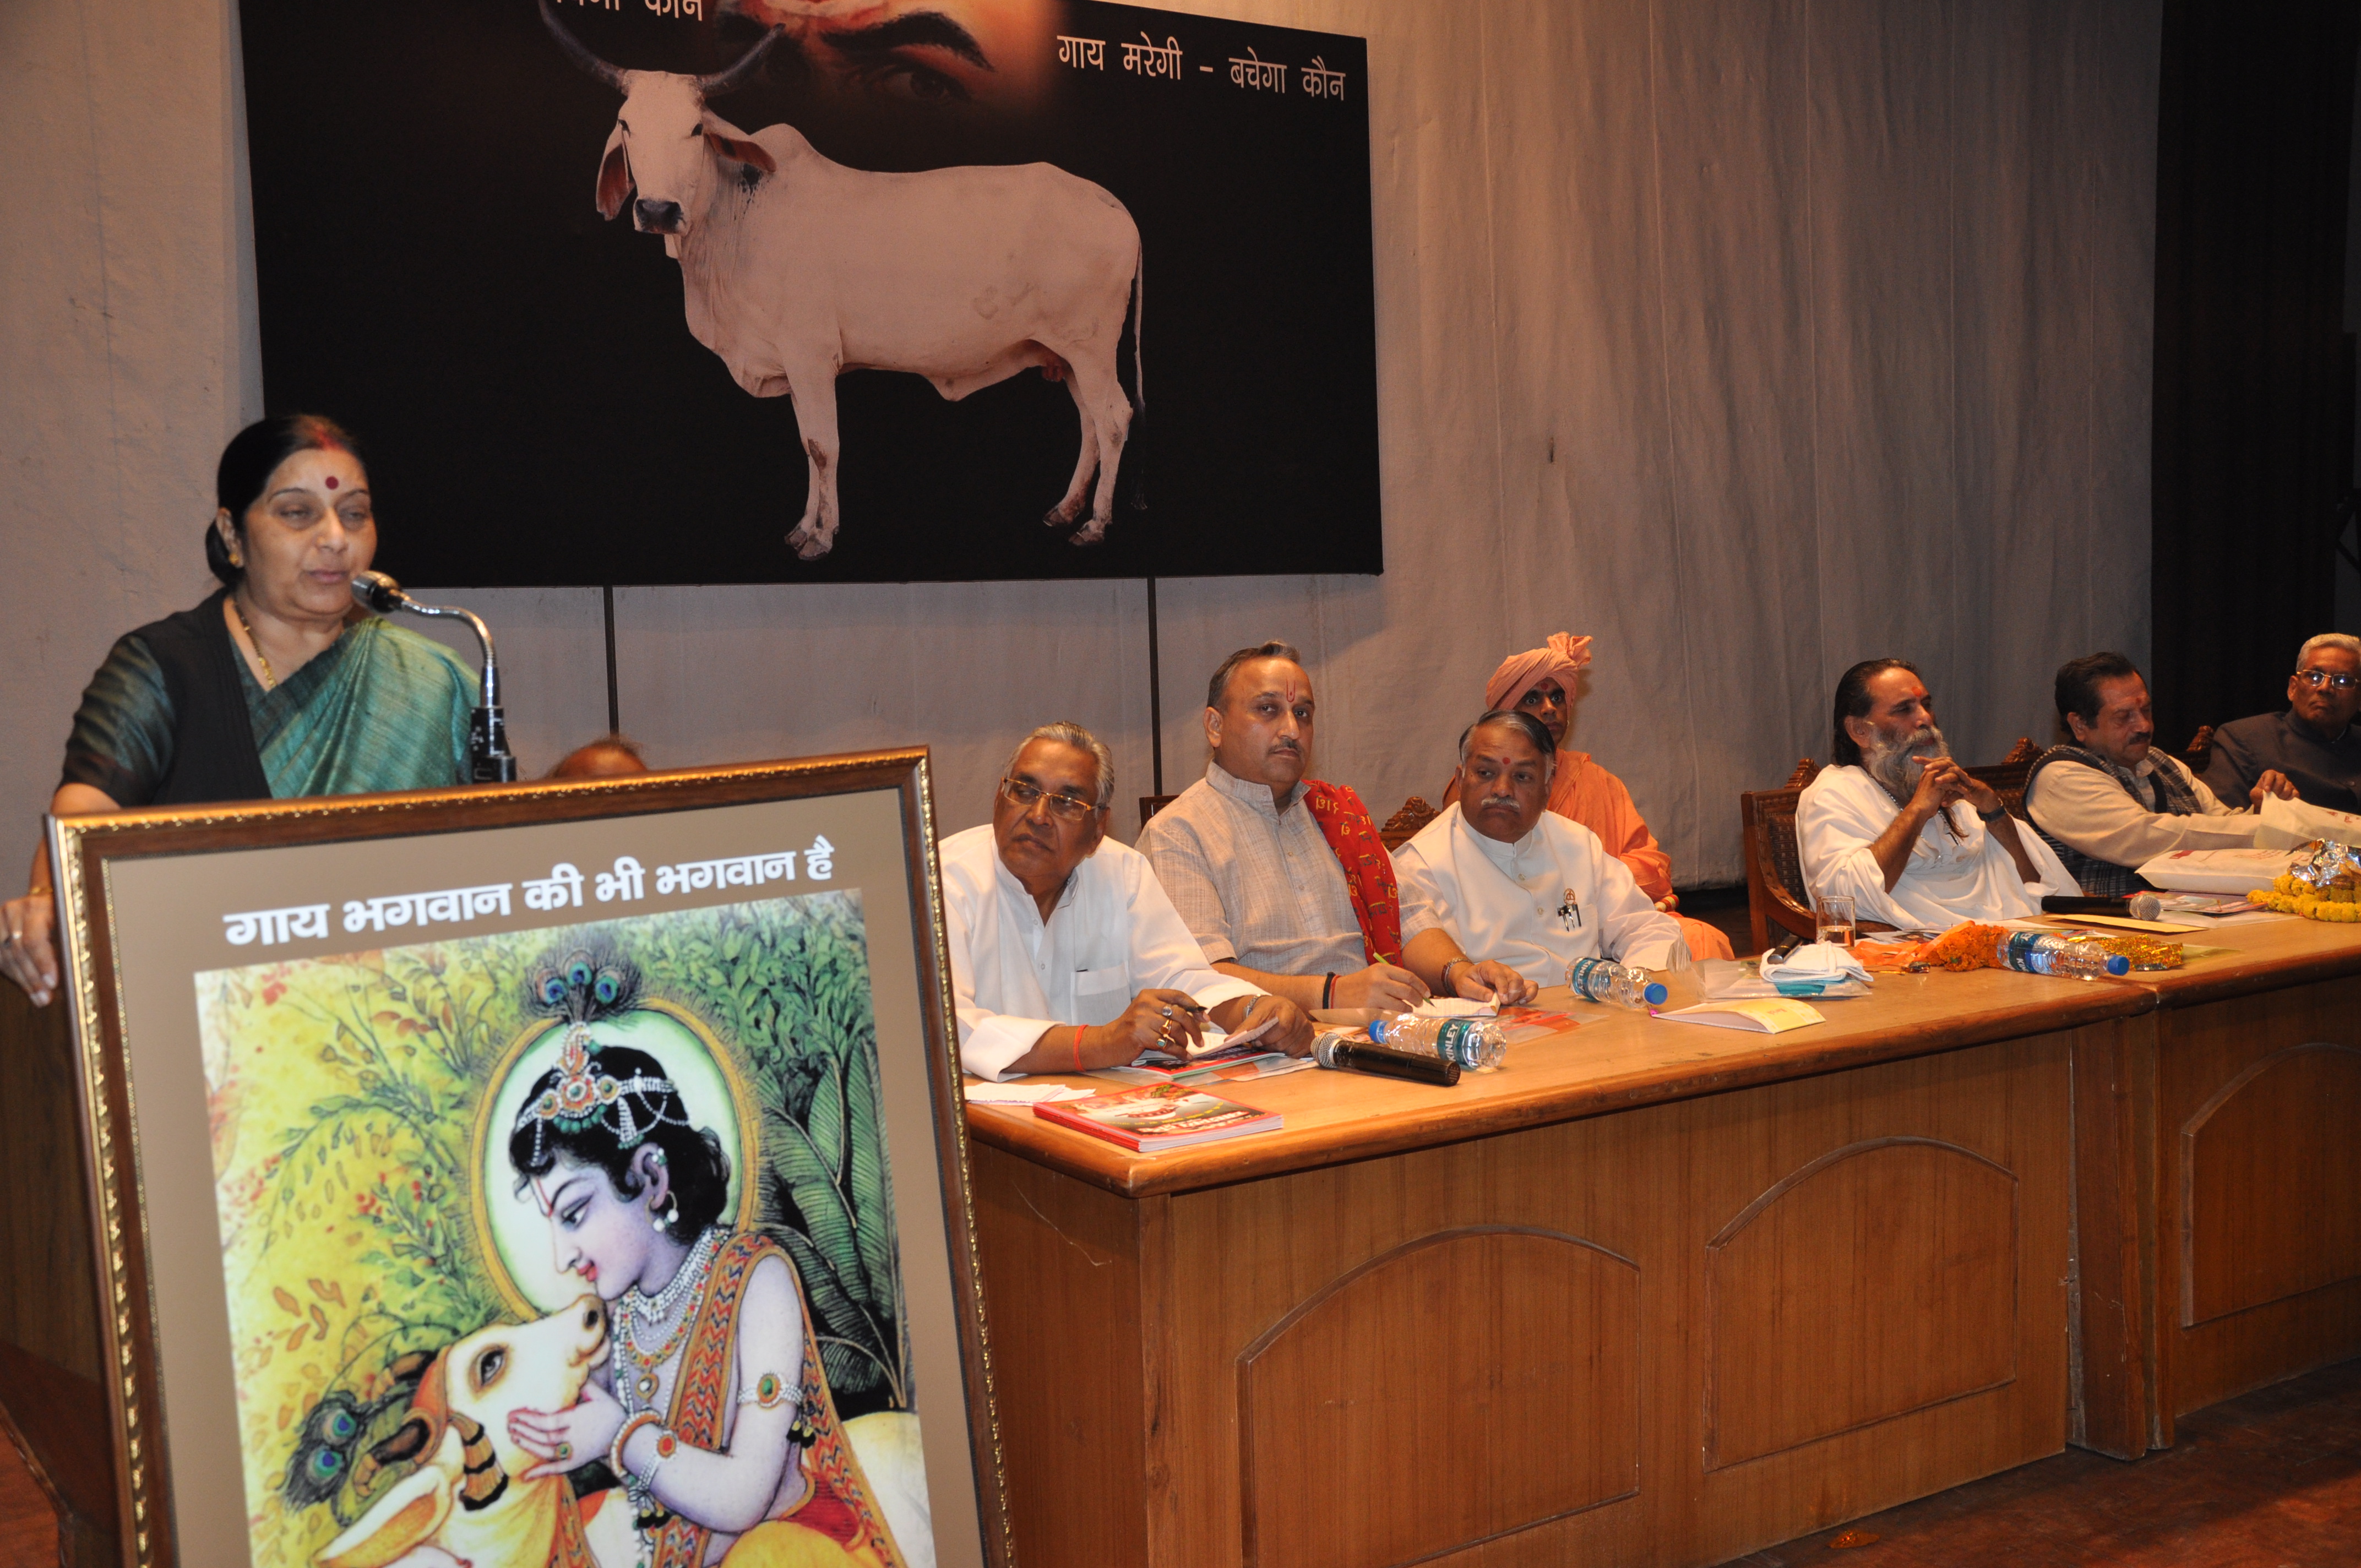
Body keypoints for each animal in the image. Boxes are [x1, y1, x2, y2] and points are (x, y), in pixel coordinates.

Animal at [545, 0, 1152, 564]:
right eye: (627, 124)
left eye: (695, 129)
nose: (657, 210)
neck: (738, 218)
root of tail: (1114, 206)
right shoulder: (791, 364)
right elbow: (806, 443)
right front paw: (803, 526)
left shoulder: (811, 356)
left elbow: (822, 444)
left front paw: (821, 536)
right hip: (1066, 355)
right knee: (1089, 422)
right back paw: (1066, 510)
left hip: (1091, 348)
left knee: (1113, 419)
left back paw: (1095, 525)